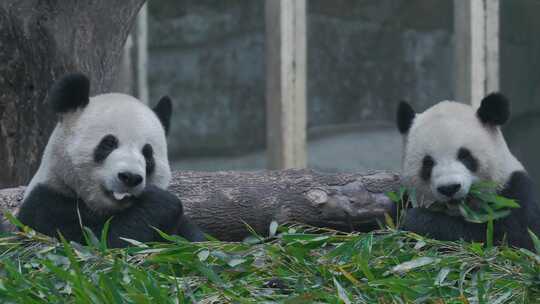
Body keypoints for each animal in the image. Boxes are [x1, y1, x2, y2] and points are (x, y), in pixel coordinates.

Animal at [17, 73, 205, 247]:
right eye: (108, 143)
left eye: (147, 153)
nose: (130, 177)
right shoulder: (45, 207)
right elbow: (102, 242)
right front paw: (159, 201)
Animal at [396, 93, 540, 249]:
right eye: (428, 163)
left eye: (465, 156)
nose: (449, 188)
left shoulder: (515, 192)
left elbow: (510, 237)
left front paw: (416, 220)